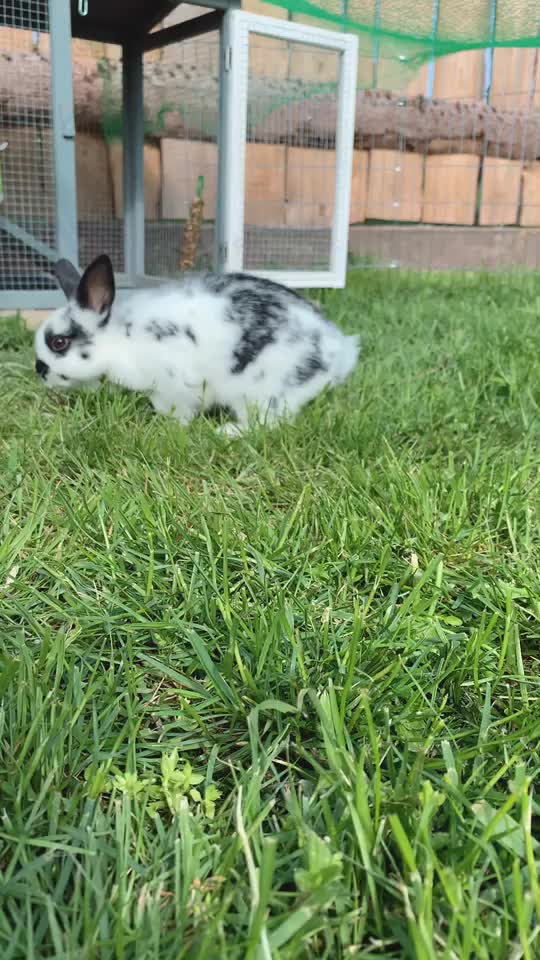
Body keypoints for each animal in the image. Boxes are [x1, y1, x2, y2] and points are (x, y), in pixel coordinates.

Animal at [34, 253, 360, 436]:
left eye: (59, 342)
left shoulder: (172, 387)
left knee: (268, 423)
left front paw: (170, 425)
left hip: (261, 393)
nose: (39, 370)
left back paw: (227, 431)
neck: (121, 342)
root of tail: (337, 352)